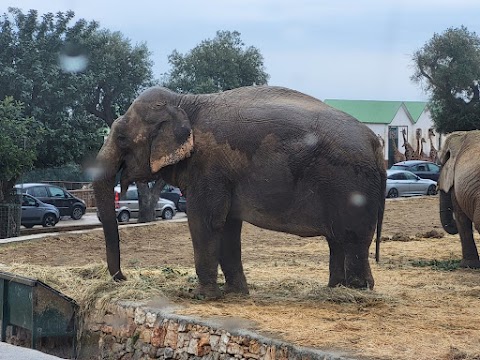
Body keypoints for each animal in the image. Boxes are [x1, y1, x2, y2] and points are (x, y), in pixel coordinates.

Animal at [93, 85, 386, 298]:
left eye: (121, 138)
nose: (123, 277)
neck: (184, 102)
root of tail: (375, 142)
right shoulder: (223, 176)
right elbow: (228, 226)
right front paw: (235, 293)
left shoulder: (208, 167)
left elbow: (205, 222)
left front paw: (199, 296)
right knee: (338, 240)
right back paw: (336, 290)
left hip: (351, 184)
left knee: (353, 238)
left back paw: (356, 293)